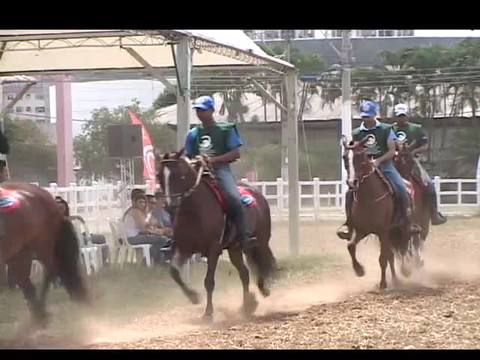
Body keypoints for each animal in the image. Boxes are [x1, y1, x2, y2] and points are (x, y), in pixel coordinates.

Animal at [0, 183, 90, 330]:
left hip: (42, 245)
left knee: (49, 272)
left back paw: (40, 315)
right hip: (20, 252)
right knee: (27, 282)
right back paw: (38, 316)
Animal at [158, 150, 278, 320]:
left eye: (179, 175)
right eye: (159, 176)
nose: (170, 205)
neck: (194, 211)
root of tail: (256, 193)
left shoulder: (213, 249)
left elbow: (209, 281)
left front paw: (208, 312)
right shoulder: (184, 247)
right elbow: (174, 272)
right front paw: (194, 297)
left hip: (261, 240)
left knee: (262, 262)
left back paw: (262, 289)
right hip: (234, 248)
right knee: (244, 273)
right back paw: (247, 305)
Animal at [342, 136, 412, 288]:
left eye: (360, 157)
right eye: (344, 157)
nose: (351, 182)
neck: (368, 198)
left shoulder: (382, 231)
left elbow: (383, 258)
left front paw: (383, 283)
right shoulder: (362, 230)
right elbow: (350, 246)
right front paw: (359, 270)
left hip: (401, 228)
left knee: (403, 248)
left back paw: (405, 271)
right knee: (392, 255)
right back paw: (395, 279)